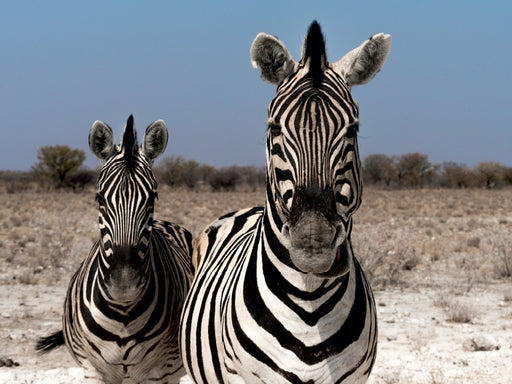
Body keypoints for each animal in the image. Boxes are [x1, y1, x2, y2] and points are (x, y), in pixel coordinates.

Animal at [36, 115, 192, 384]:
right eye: (99, 199)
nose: (124, 284)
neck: (123, 314)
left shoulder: (157, 373)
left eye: (152, 198)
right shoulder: (93, 370)